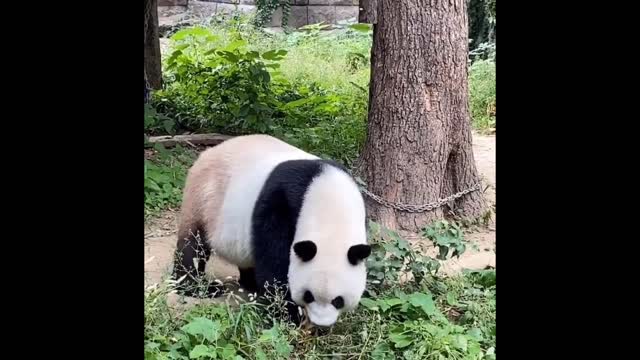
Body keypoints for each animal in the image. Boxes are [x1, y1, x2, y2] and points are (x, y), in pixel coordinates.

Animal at [171, 134, 370, 326]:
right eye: (309, 295)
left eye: (338, 300)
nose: (321, 324)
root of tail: (207, 153)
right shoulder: (280, 202)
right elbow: (274, 260)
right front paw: (287, 315)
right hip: (204, 198)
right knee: (193, 246)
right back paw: (199, 286)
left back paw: (250, 282)